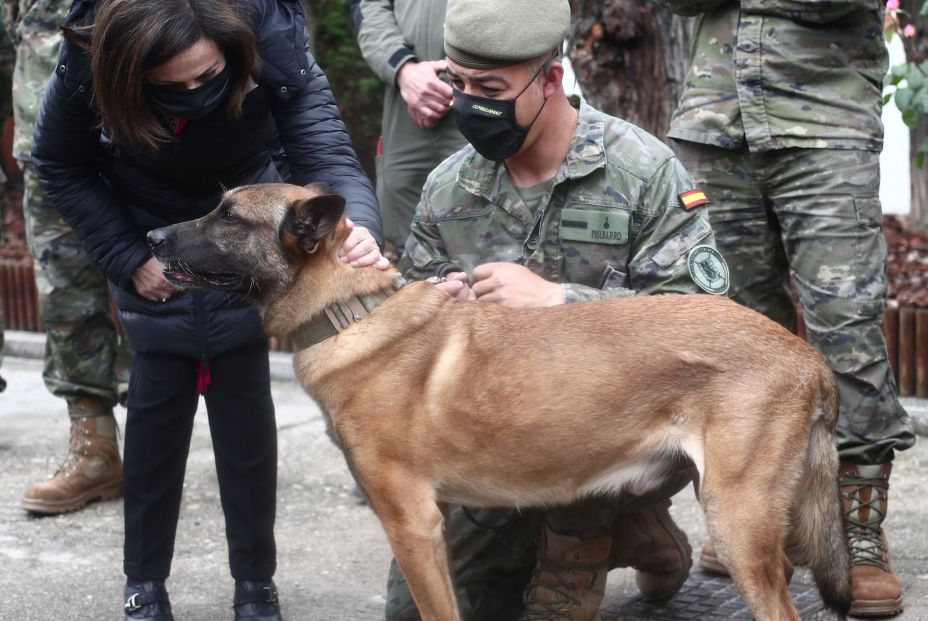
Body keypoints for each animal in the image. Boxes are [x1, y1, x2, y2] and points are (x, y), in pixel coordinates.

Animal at [149, 183, 852, 620]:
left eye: (228, 216)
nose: (152, 236)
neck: (350, 313)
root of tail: (806, 355)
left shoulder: (411, 526)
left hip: (737, 526)